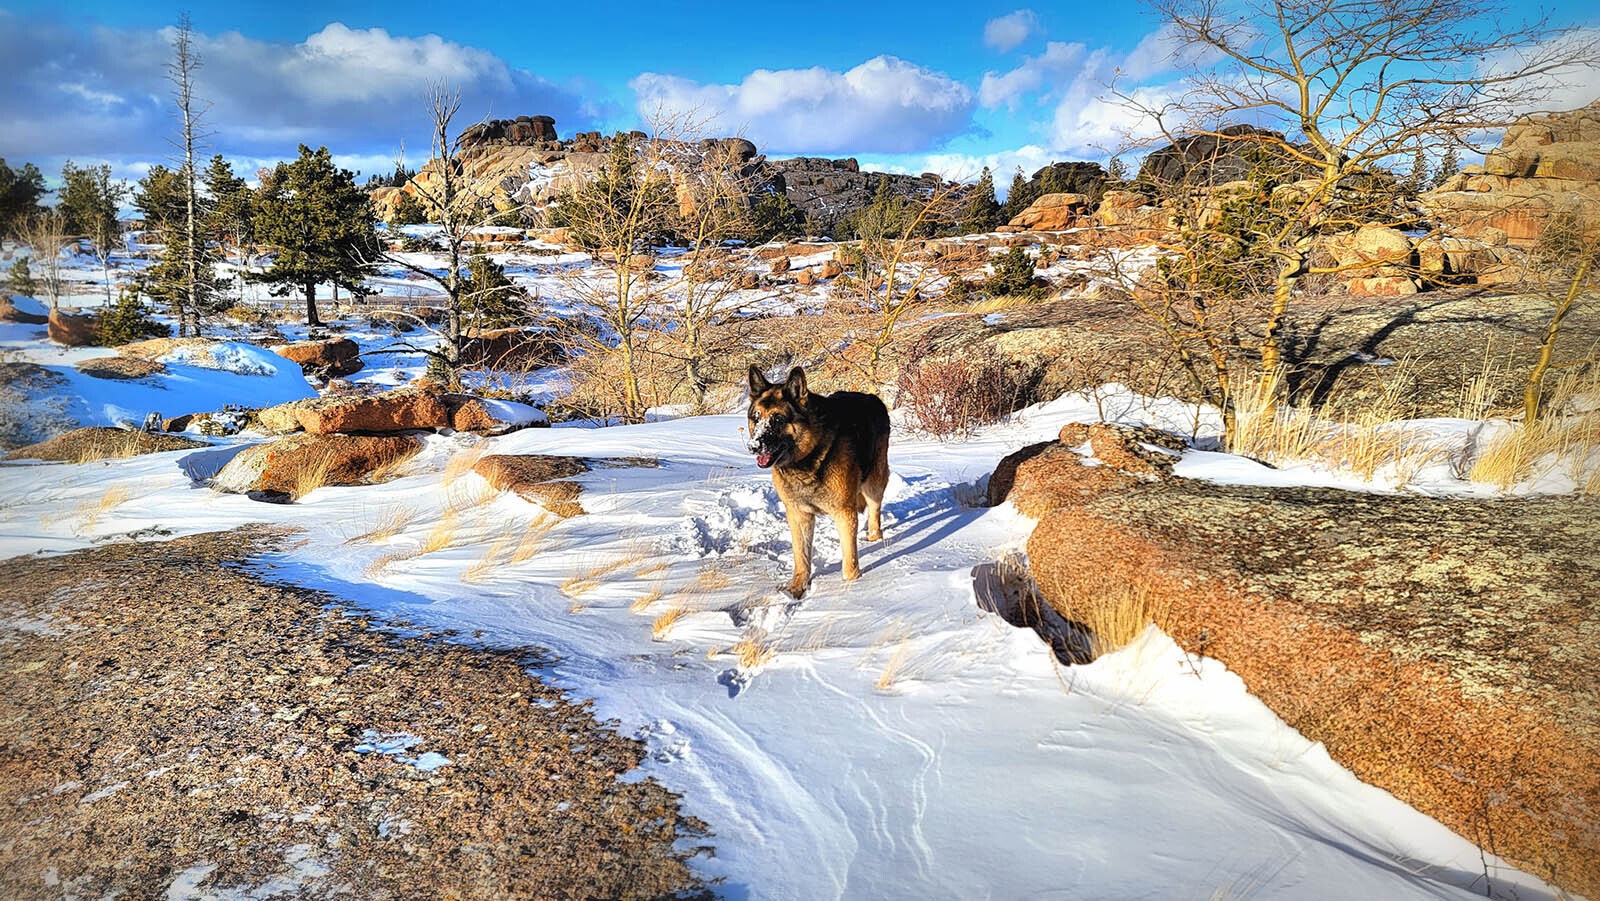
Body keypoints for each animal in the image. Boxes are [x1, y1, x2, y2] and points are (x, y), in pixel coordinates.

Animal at [745, 366, 896, 598]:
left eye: (778, 419)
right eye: (756, 417)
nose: (753, 447)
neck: (807, 458)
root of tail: (872, 398)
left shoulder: (844, 513)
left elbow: (849, 561)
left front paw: (852, 587)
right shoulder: (799, 516)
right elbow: (801, 556)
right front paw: (797, 588)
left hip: (874, 482)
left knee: (874, 510)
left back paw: (874, 537)